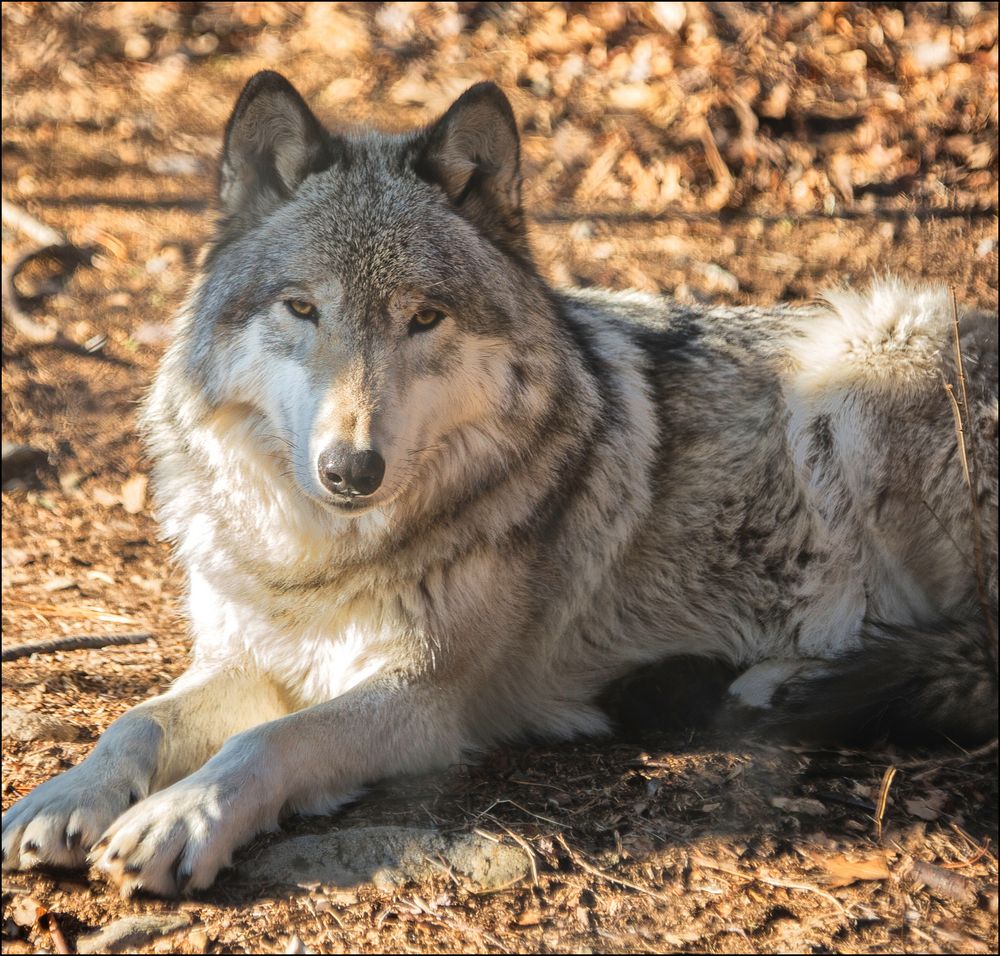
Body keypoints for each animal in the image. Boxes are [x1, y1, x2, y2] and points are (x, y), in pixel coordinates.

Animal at [3, 73, 996, 896]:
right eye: (303, 309)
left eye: (424, 318)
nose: (350, 469)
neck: (317, 560)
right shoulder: (247, 657)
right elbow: (136, 723)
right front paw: (66, 797)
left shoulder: (426, 699)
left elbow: (271, 741)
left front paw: (180, 818)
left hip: (867, 358)